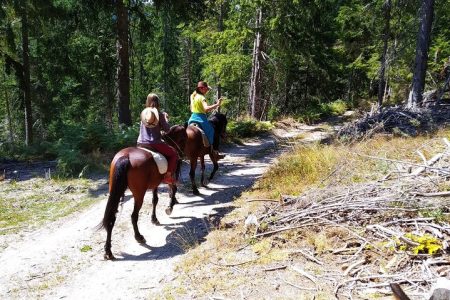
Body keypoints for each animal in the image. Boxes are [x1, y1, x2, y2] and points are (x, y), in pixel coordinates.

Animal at [101, 124, 186, 260]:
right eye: (184, 137)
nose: (181, 155)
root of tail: (126, 157)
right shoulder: (169, 178)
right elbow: (172, 190)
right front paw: (170, 207)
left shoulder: (155, 183)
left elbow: (155, 200)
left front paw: (154, 219)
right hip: (139, 194)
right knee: (134, 216)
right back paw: (139, 237)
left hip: (115, 191)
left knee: (112, 218)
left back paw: (108, 251)